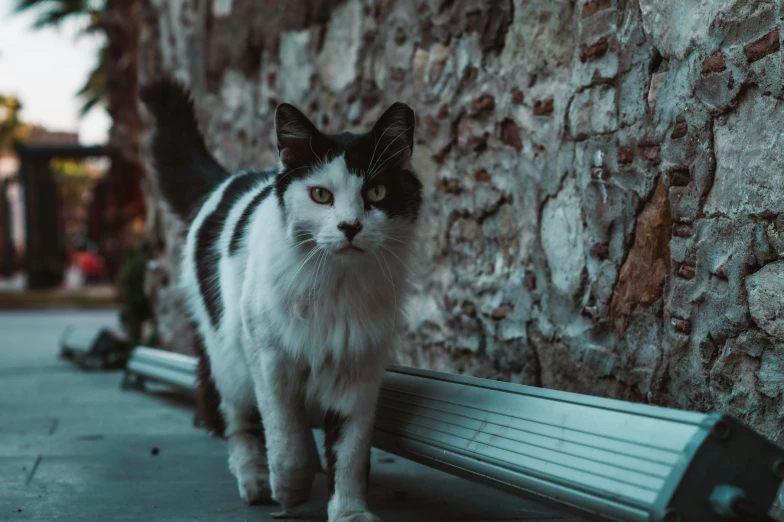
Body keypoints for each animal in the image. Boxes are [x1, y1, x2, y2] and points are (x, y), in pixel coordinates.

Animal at [141, 78, 422, 520]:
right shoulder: (269, 359)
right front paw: (288, 491)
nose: (350, 227)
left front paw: (349, 510)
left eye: (377, 191)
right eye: (321, 195)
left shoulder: (358, 369)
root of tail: (228, 180)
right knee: (238, 423)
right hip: (227, 359)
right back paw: (256, 481)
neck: (335, 285)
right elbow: (287, 439)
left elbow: (350, 450)